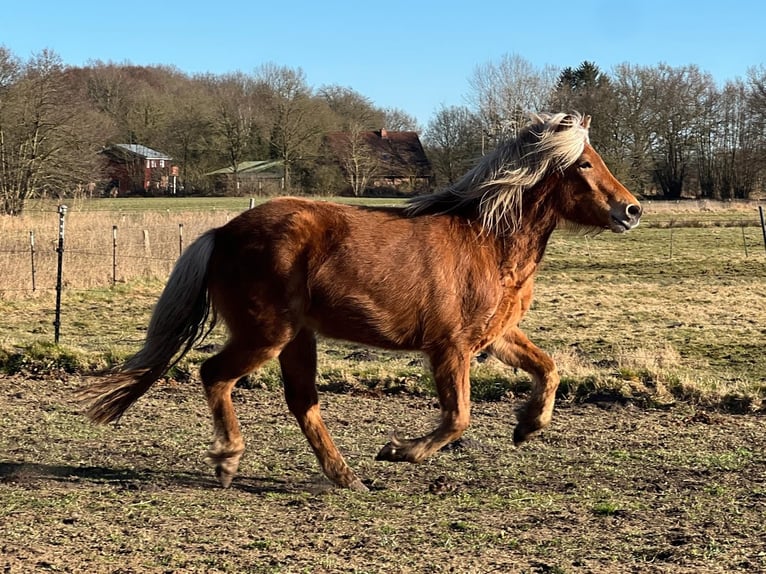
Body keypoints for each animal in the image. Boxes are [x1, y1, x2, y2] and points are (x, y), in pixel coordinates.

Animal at [78, 112, 642, 491]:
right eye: (584, 164)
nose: (632, 210)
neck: (487, 240)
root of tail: (223, 232)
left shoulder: (494, 337)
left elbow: (548, 369)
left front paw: (527, 426)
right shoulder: (451, 347)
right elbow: (458, 417)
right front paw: (398, 451)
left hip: (297, 339)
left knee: (302, 402)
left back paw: (346, 477)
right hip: (267, 334)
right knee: (215, 374)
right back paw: (229, 460)